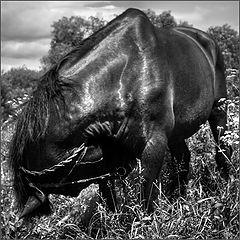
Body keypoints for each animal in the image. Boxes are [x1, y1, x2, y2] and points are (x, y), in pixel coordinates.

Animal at [8, 7, 232, 218]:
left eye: (70, 189)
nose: (124, 167)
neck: (122, 75)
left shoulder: (154, 144)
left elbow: (145, 195)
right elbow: (108, 196)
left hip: (219, 108)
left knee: (222, 151)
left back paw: (224, 192)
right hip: (177, 131)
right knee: (183, 159)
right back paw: (177, 200)